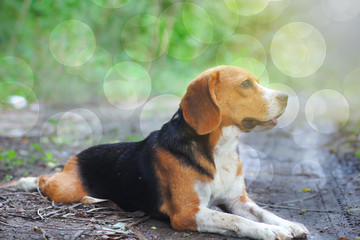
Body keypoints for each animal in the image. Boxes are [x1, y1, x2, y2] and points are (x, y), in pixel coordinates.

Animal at [16, 64, 310, 239]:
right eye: (246, 84)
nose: (286, 97)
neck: (220, 149)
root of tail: (76, 157)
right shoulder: (188, 212)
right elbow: (236, 221)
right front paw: (270, 231)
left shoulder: (238, 200)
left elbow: (262, 212)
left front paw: (287, 223)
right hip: (64, 188)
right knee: (45, 179)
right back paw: (25, 181)